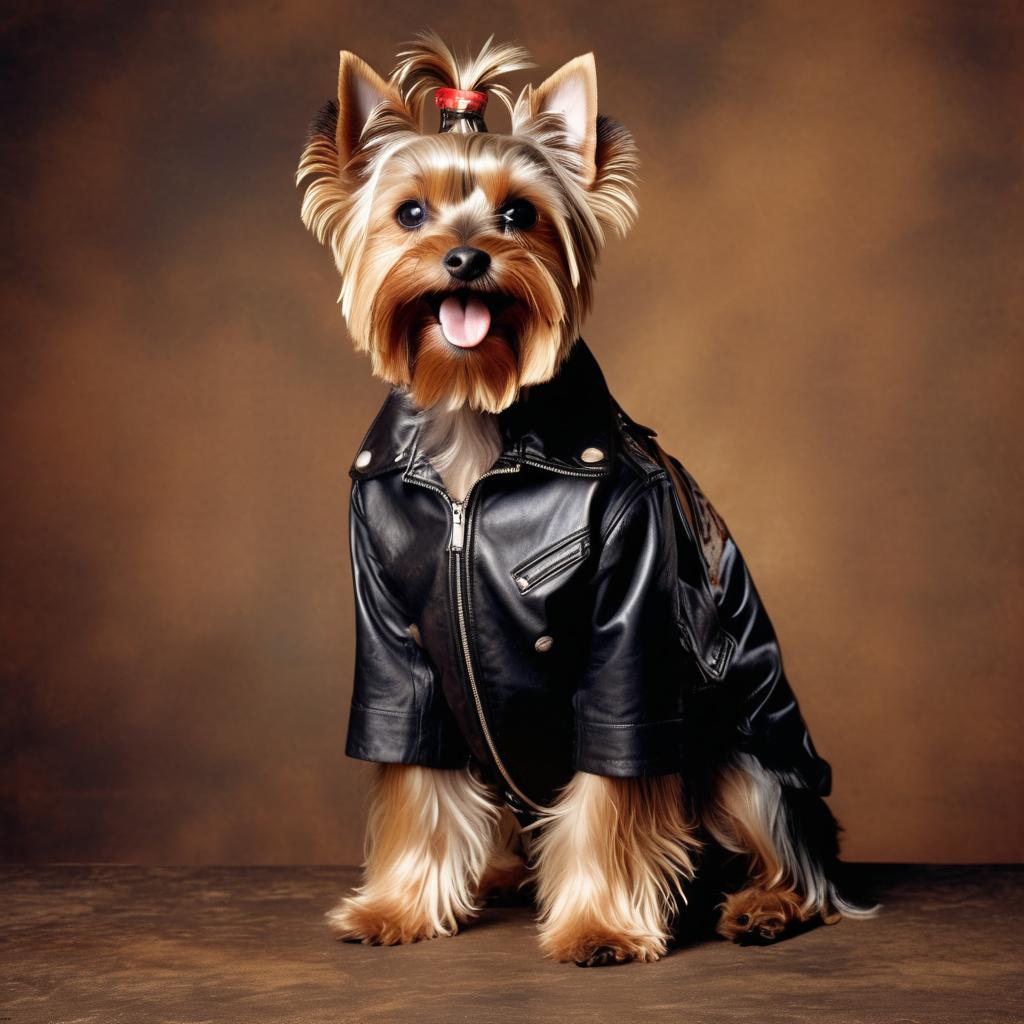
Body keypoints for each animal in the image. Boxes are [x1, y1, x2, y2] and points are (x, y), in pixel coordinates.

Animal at [294, 28, 872, 962]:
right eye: (410, 213)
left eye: (519, 215)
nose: (467, 257)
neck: (479, 433)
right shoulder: (393, 632)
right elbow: (413, 765)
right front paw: (397, 909)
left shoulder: (628, 633)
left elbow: (609, 785)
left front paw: (599, 925)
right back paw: (500, 875)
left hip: (750, 761)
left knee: (799, 861)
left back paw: (763, 905)